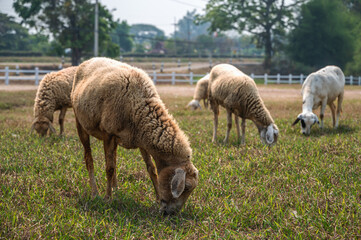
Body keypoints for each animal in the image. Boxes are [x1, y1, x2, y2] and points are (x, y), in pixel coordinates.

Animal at [71, 57, 198, 215]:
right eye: (186, 187)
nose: (171, 213)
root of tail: (89, 60)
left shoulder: (142, 140)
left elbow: (151, 169)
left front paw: (157, 198)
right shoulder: (108, 134)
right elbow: (109, 168)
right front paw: (107, 198)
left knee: (114, 160)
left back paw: (116, 189)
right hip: (80, 122)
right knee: (89, 159)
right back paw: (95, 193)